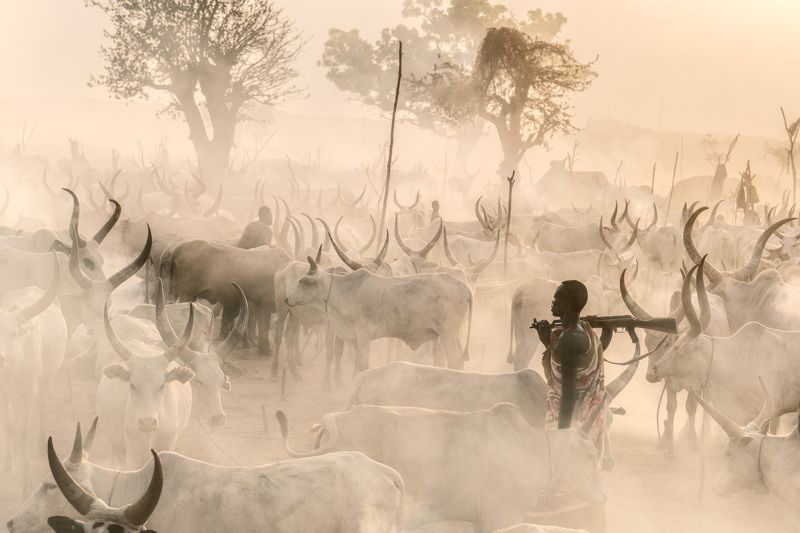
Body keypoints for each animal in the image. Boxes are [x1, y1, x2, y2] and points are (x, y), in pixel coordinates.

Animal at [0, 255, 66, 496]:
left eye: (13, 334)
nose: (1, 358)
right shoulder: (4, 394)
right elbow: (9, 425)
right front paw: (7, 464)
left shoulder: (28, 392)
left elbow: (22, 430)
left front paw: (25, 481)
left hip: (45, 379)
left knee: (42, 405)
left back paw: (39, 442)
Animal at [287, 257, 473, 371]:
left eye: (302, 282)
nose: (287, 299)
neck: (341, 290)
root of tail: (464, 287)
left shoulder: (363, 336)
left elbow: (363, 365)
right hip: (453, 334)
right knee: (459, 360)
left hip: (448, 333)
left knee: (454, 359)